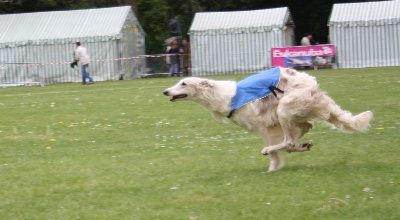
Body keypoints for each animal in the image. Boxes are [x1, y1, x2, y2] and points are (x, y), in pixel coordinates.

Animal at [162, 67, 372, 172]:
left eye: (184, 83)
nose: (165, 91)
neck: (225, 96)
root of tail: (314, 86)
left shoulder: (265, 125)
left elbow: (277, 149)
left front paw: (273, 166)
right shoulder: (272, 125)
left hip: (284, 109)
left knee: (289, 139)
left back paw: (274, 149)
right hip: (293, 113)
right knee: (304, 128)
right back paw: (301, 146)